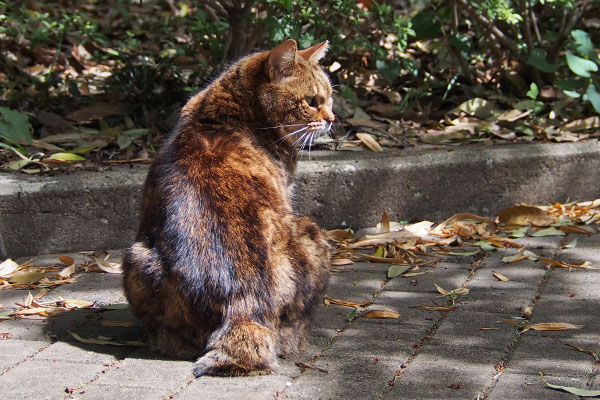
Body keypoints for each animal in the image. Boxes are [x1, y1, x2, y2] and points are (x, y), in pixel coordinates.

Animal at [122, 39, 336, 376]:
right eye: (312, 101)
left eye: (328, 98)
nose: (332, 119)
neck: (223, 113)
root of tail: (241, 307)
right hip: (312, 231)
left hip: (136, 258)